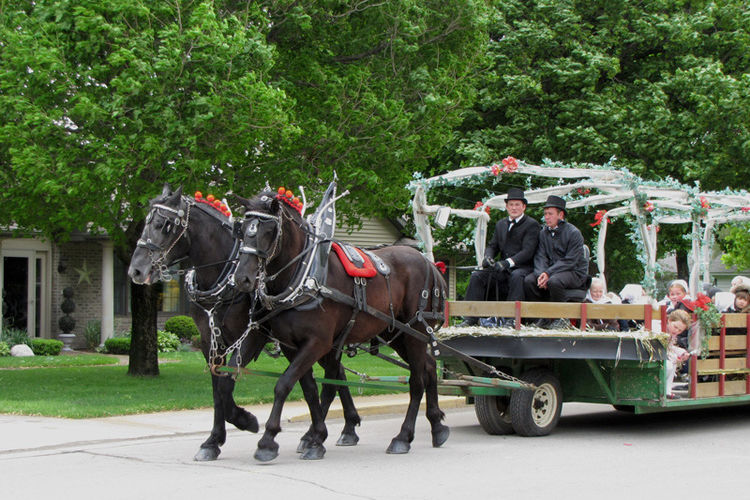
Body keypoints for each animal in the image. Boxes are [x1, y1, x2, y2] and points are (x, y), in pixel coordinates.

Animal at [128, 185, 362, 460]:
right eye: (145, 223)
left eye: (163, 224)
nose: (136, 270)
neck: (224, 278)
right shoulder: (210, 341)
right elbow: (217, 389)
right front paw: (213, 441)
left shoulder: (252, 337)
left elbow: (226, 385)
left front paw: (245, 420)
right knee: (334, 375)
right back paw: (338, 430)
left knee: (331, 377)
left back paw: (331, 432)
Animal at [232, 190, 450, 460]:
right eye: (242, 230)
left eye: (269, 230)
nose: (242, 278)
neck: (306, 275)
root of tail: (431, 265)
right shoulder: (292, 346)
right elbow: (309, 389)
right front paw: (315, 437)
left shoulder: (319, 342)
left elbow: (285, 384)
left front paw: (268, 440)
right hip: (399, 334)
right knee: (429, 368)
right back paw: (437, 427)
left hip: (416, 333)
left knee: (417, 381)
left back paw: (403, 437)